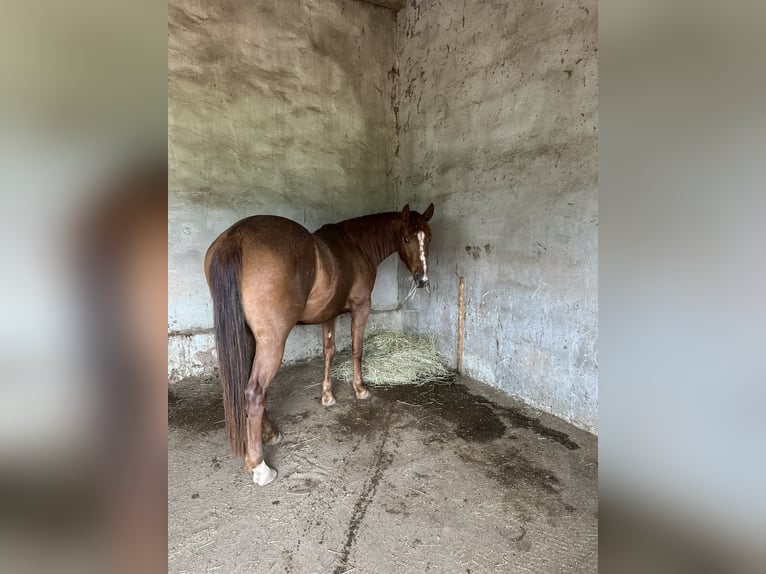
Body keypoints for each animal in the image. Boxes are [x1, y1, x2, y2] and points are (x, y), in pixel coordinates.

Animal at [204, 203, 435, 485]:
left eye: (428, 237)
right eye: (407, 238)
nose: (422, 280)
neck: (356, 245)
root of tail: (235, 237)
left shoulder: (329, 315)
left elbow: (329, 351)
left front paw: (327, 396)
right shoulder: (361, 308)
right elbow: (357, 349)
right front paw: (360, 389)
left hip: (248, 337)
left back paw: (270, 434)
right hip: (272, 342)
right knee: (255, 391)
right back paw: (260, 467)